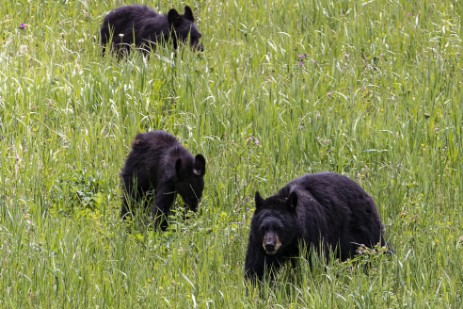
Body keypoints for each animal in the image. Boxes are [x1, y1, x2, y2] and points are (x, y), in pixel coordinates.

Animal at [245, 171, 394, 282]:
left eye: (280, 227)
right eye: (263, 227)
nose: (270, 245)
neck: (291, 241)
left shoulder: (313, 234)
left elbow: (316, 261)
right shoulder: (257, 241)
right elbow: (258, 266)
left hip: (361, 226)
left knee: (375, 245)